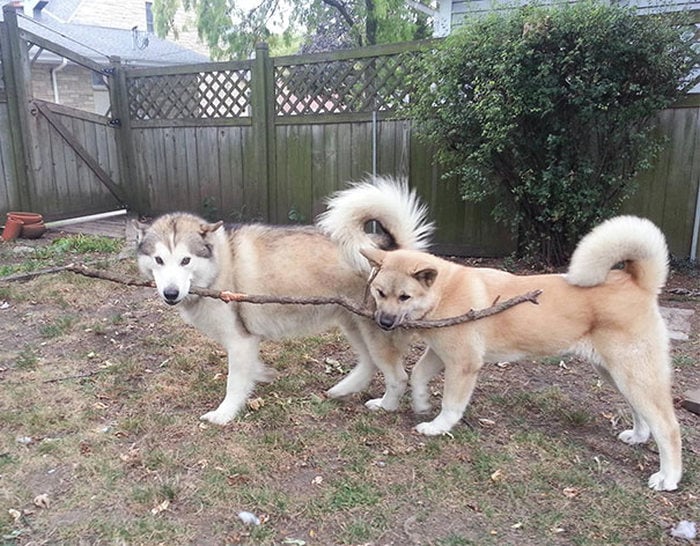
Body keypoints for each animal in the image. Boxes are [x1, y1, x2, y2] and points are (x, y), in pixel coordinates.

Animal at [364, 214, 680, 488]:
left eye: (404, 297)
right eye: (380, 292)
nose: (384, 322)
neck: (444, 293)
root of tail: (638, 283)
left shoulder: (463, 364)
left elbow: (451, 405)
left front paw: (437, 427)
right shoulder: (441, 354)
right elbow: (417, 375)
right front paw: (418, 403)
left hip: (634, 375)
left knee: (668, 427)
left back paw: (668, 478)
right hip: (616, 375)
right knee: (641, 412)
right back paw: (638, 436)